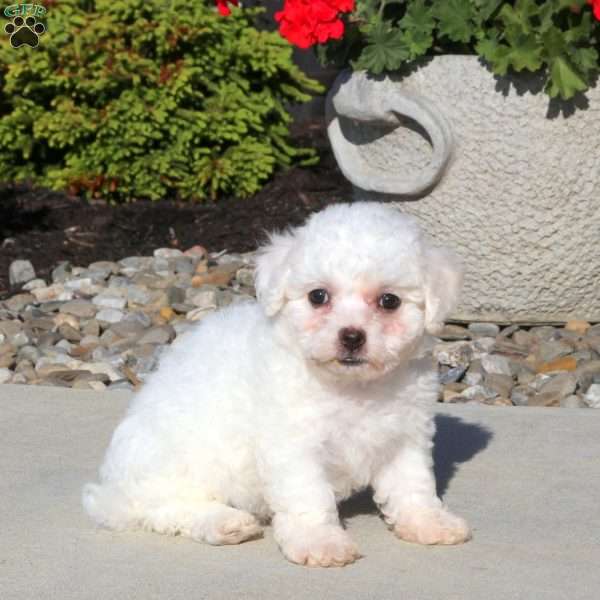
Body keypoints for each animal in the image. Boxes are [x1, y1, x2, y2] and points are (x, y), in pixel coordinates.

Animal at [82, 203, 472, 568]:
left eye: (389, 301)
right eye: (318, 296)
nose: (351, 336)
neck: (353, 388)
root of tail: (109, 489)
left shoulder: (405, 436)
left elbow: (413, 485)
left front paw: (429, 522)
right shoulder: (293, 444)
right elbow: (308, 496)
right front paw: (320, 542)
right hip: (172, 461)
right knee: (163, 507)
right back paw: (223, 522)